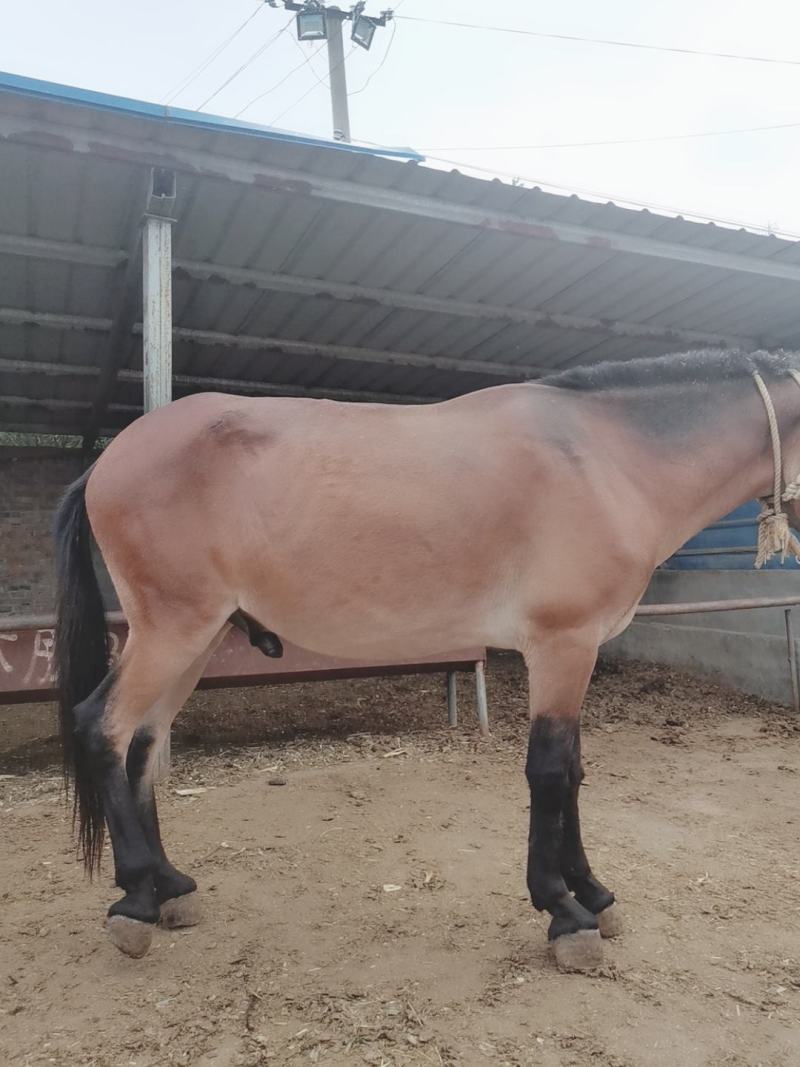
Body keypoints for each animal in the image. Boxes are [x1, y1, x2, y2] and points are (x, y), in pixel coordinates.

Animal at [53, 347, 800, 970]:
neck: (604, 457)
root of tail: (109, 460)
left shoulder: (578, 650)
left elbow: (574, 772)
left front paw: (594, 892)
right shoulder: (561, 645)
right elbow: (549, 772)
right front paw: (564, 911)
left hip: (196, 638)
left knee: (143, 742)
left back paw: (169, 886)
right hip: (172, 631)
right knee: (103, 727)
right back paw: (135, 899)